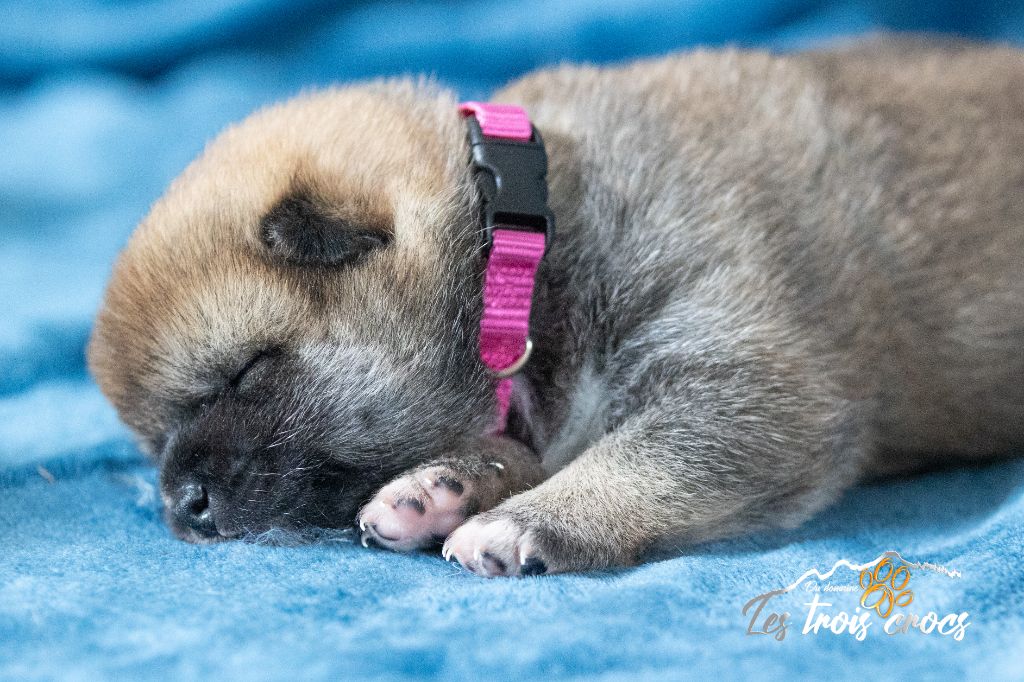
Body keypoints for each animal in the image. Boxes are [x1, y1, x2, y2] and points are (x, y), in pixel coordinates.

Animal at [88, 37, 1024, 576]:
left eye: (244, 373)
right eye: (153, 438)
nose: (178, 505)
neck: (525, 243)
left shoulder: (750, 384)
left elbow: (644, 455)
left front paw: (521, 521)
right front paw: (443, 486)